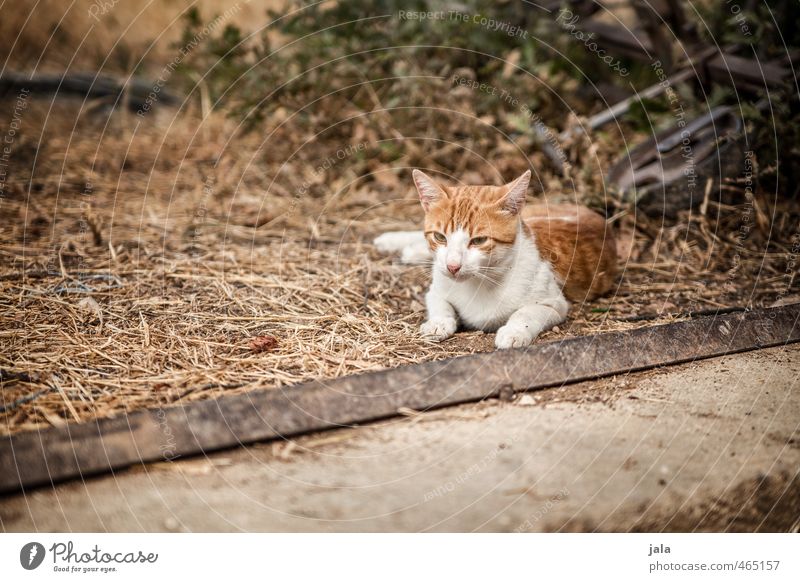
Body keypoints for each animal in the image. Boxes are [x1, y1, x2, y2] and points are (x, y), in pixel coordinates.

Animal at [376, 170, 620, 352]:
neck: (480, 280)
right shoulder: (437, 287)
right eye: (439, 237)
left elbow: (525, 312)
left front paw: (514, 332)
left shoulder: (555, 304)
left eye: (479, 240)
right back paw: (393, 241)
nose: (452, 266)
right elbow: (439, 304)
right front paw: (438, 322)